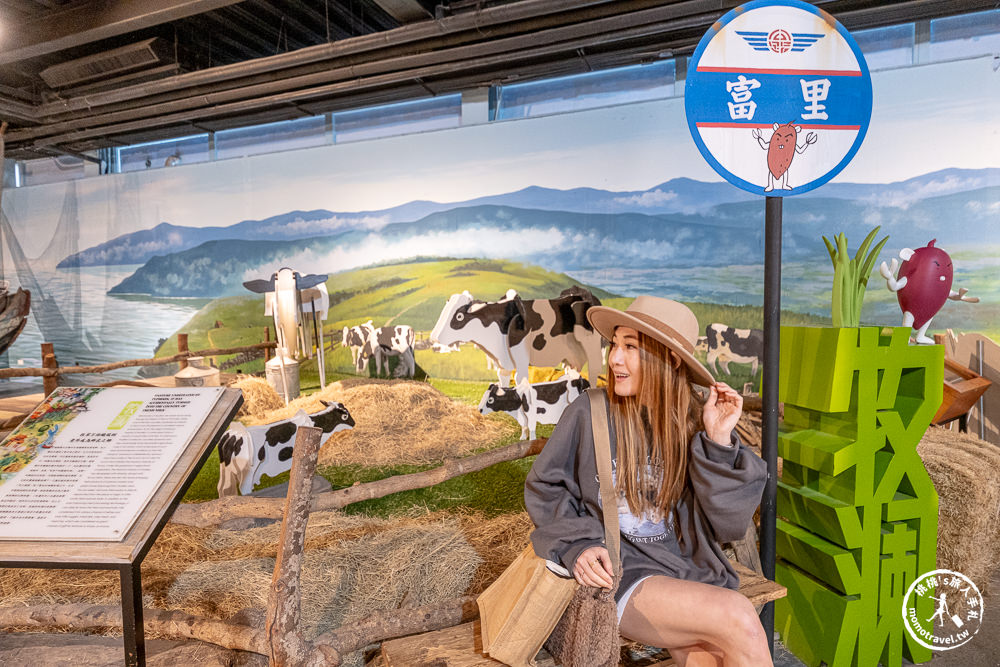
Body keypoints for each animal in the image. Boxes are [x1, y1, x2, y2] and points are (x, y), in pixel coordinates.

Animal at [219, 400, 356, 498]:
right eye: (345, 415)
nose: (354, 423)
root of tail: (235, 433)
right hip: (248, 471)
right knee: (244, 488)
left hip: (226, 471)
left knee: (223, 488)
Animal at [430, 288, 600, 386]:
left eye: (459, 316)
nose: (434, 337)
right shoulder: (503, 365)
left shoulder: (522, 361)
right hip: (571, 357)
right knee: (573, 374)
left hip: (592, 347)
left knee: (593, 373)